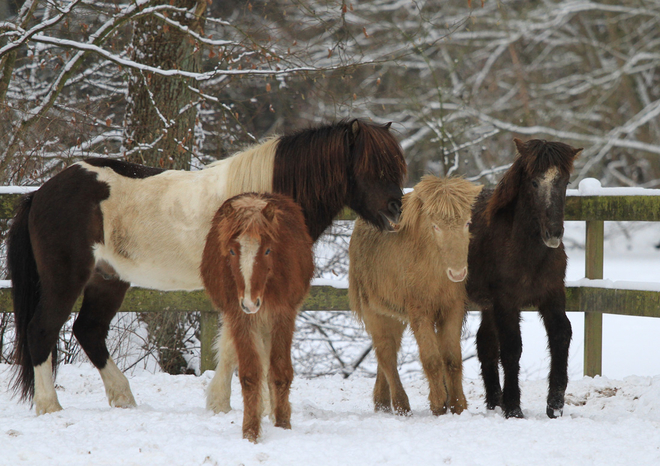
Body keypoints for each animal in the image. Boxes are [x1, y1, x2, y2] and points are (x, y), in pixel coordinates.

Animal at [7, 118, 404, 414]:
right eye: (371, 167)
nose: (396, 212)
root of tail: (40, 193)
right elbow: (233, 346)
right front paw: (222, 405)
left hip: (108, 279)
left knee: (88, 331)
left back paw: (123, 399)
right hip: (65, 279)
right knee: (41, 331)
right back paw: (50, 407)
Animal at [200, 193, 314, 444]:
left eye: (268, 250)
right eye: (232, 251)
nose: (251, 303)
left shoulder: (282, 314)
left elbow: (280, 371)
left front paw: (283, 424)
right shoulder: (240, 317)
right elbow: (251, 374)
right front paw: (250, 432)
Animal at [466, 138, 580, 418]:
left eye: (565, 182)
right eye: (534, 182)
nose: (554, 233)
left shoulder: (552, 295)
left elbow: (561, 335)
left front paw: (555, 405)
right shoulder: (506, 302)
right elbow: (511, 347)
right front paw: (513, 407)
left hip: (486, 306)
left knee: (485, 344)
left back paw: (493, 401)